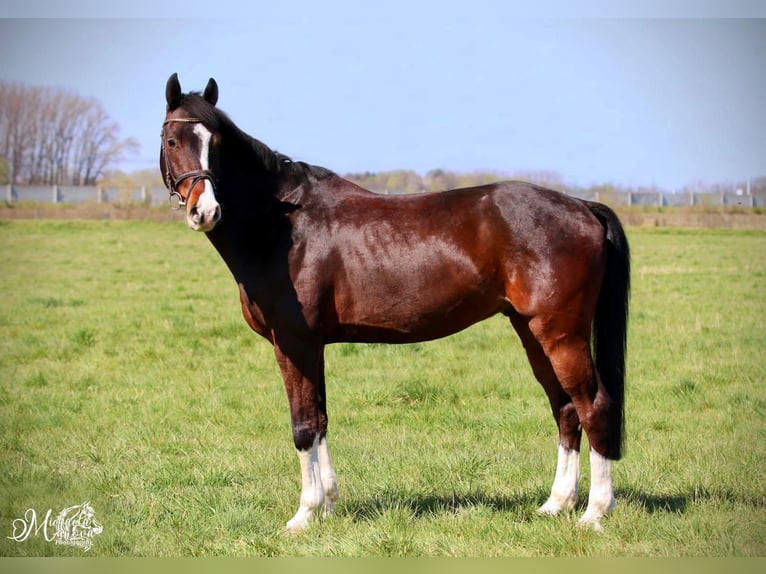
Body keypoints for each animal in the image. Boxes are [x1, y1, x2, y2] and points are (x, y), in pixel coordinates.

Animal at [160, 73, 632, 536]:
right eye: (172, 140)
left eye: (217, 143)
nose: (205, 210)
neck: (283, 226)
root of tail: (582, 205)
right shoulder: (313, 346)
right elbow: (322, 420)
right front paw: (329, 507)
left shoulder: (293, 344)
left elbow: (303, 425)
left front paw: (304, 514)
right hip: (531, 331)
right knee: (565, 409)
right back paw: (556, 504)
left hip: (561, 334)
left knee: (594, 406)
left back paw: (595, 512)